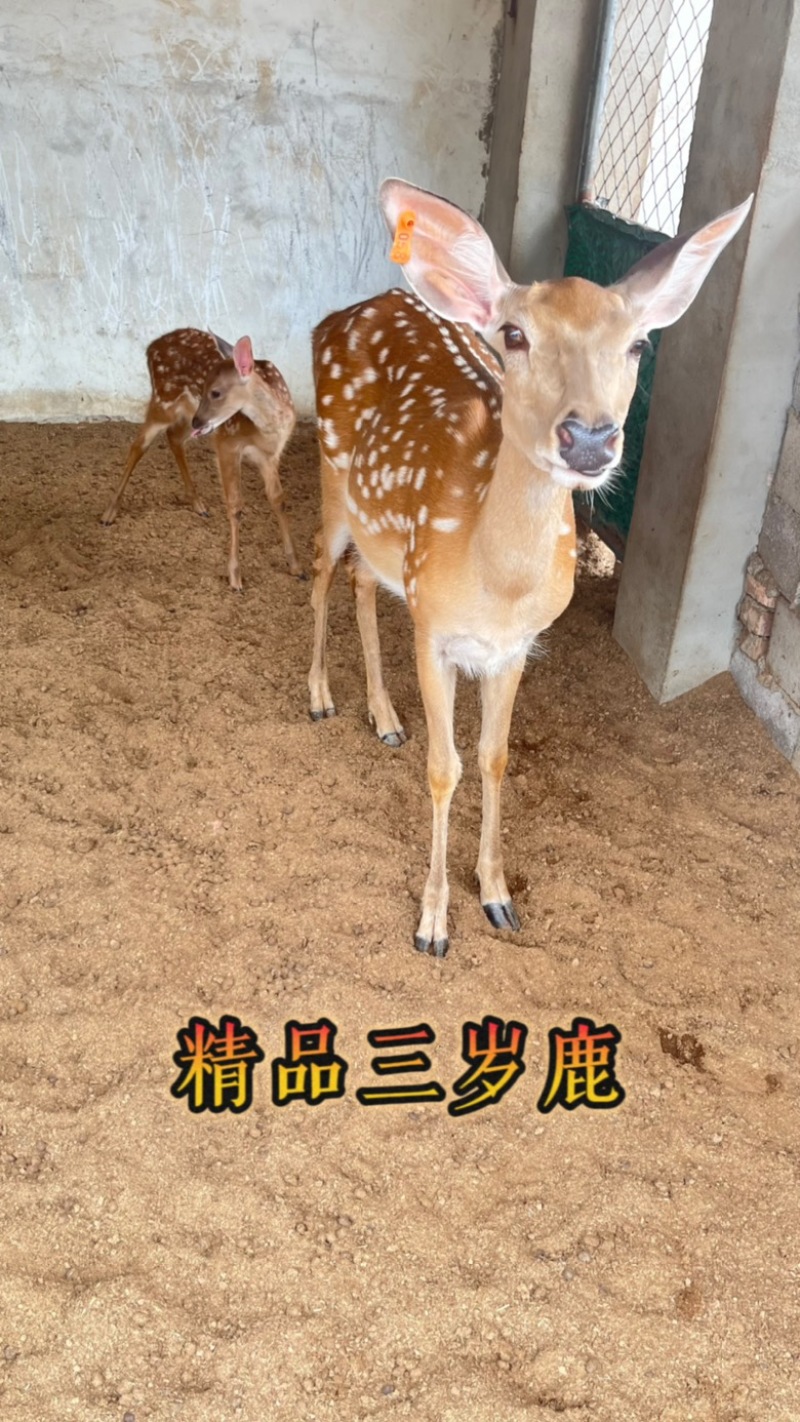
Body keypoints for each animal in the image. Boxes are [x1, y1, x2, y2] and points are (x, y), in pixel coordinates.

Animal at [101, 328, 303, 590]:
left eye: (216, 392)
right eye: (203, 385)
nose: (199, 420)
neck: (268, 428)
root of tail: (151, 347)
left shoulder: (270, 456)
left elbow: (279, 500)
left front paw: (296, 567)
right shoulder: (227, 444)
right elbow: (236, 505)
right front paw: (235, 577)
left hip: (187, 415)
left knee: (174, 437)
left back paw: (198, 504)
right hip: (165, 400)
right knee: (138, 444)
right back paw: (109, 512)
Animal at [308, 178, 752, 958]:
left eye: (638, 343)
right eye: (513, 335)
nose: (590, 438)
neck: (496, 586)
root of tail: (344, 314)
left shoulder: (515, 646)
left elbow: (495, 757)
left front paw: (496, 895)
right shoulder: (434, 630)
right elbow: (444, 767)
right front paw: (432, 923)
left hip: (381, 533)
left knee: (362, 579)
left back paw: (384, 717)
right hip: (333, 481)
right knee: (317, 570)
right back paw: (318, 697)